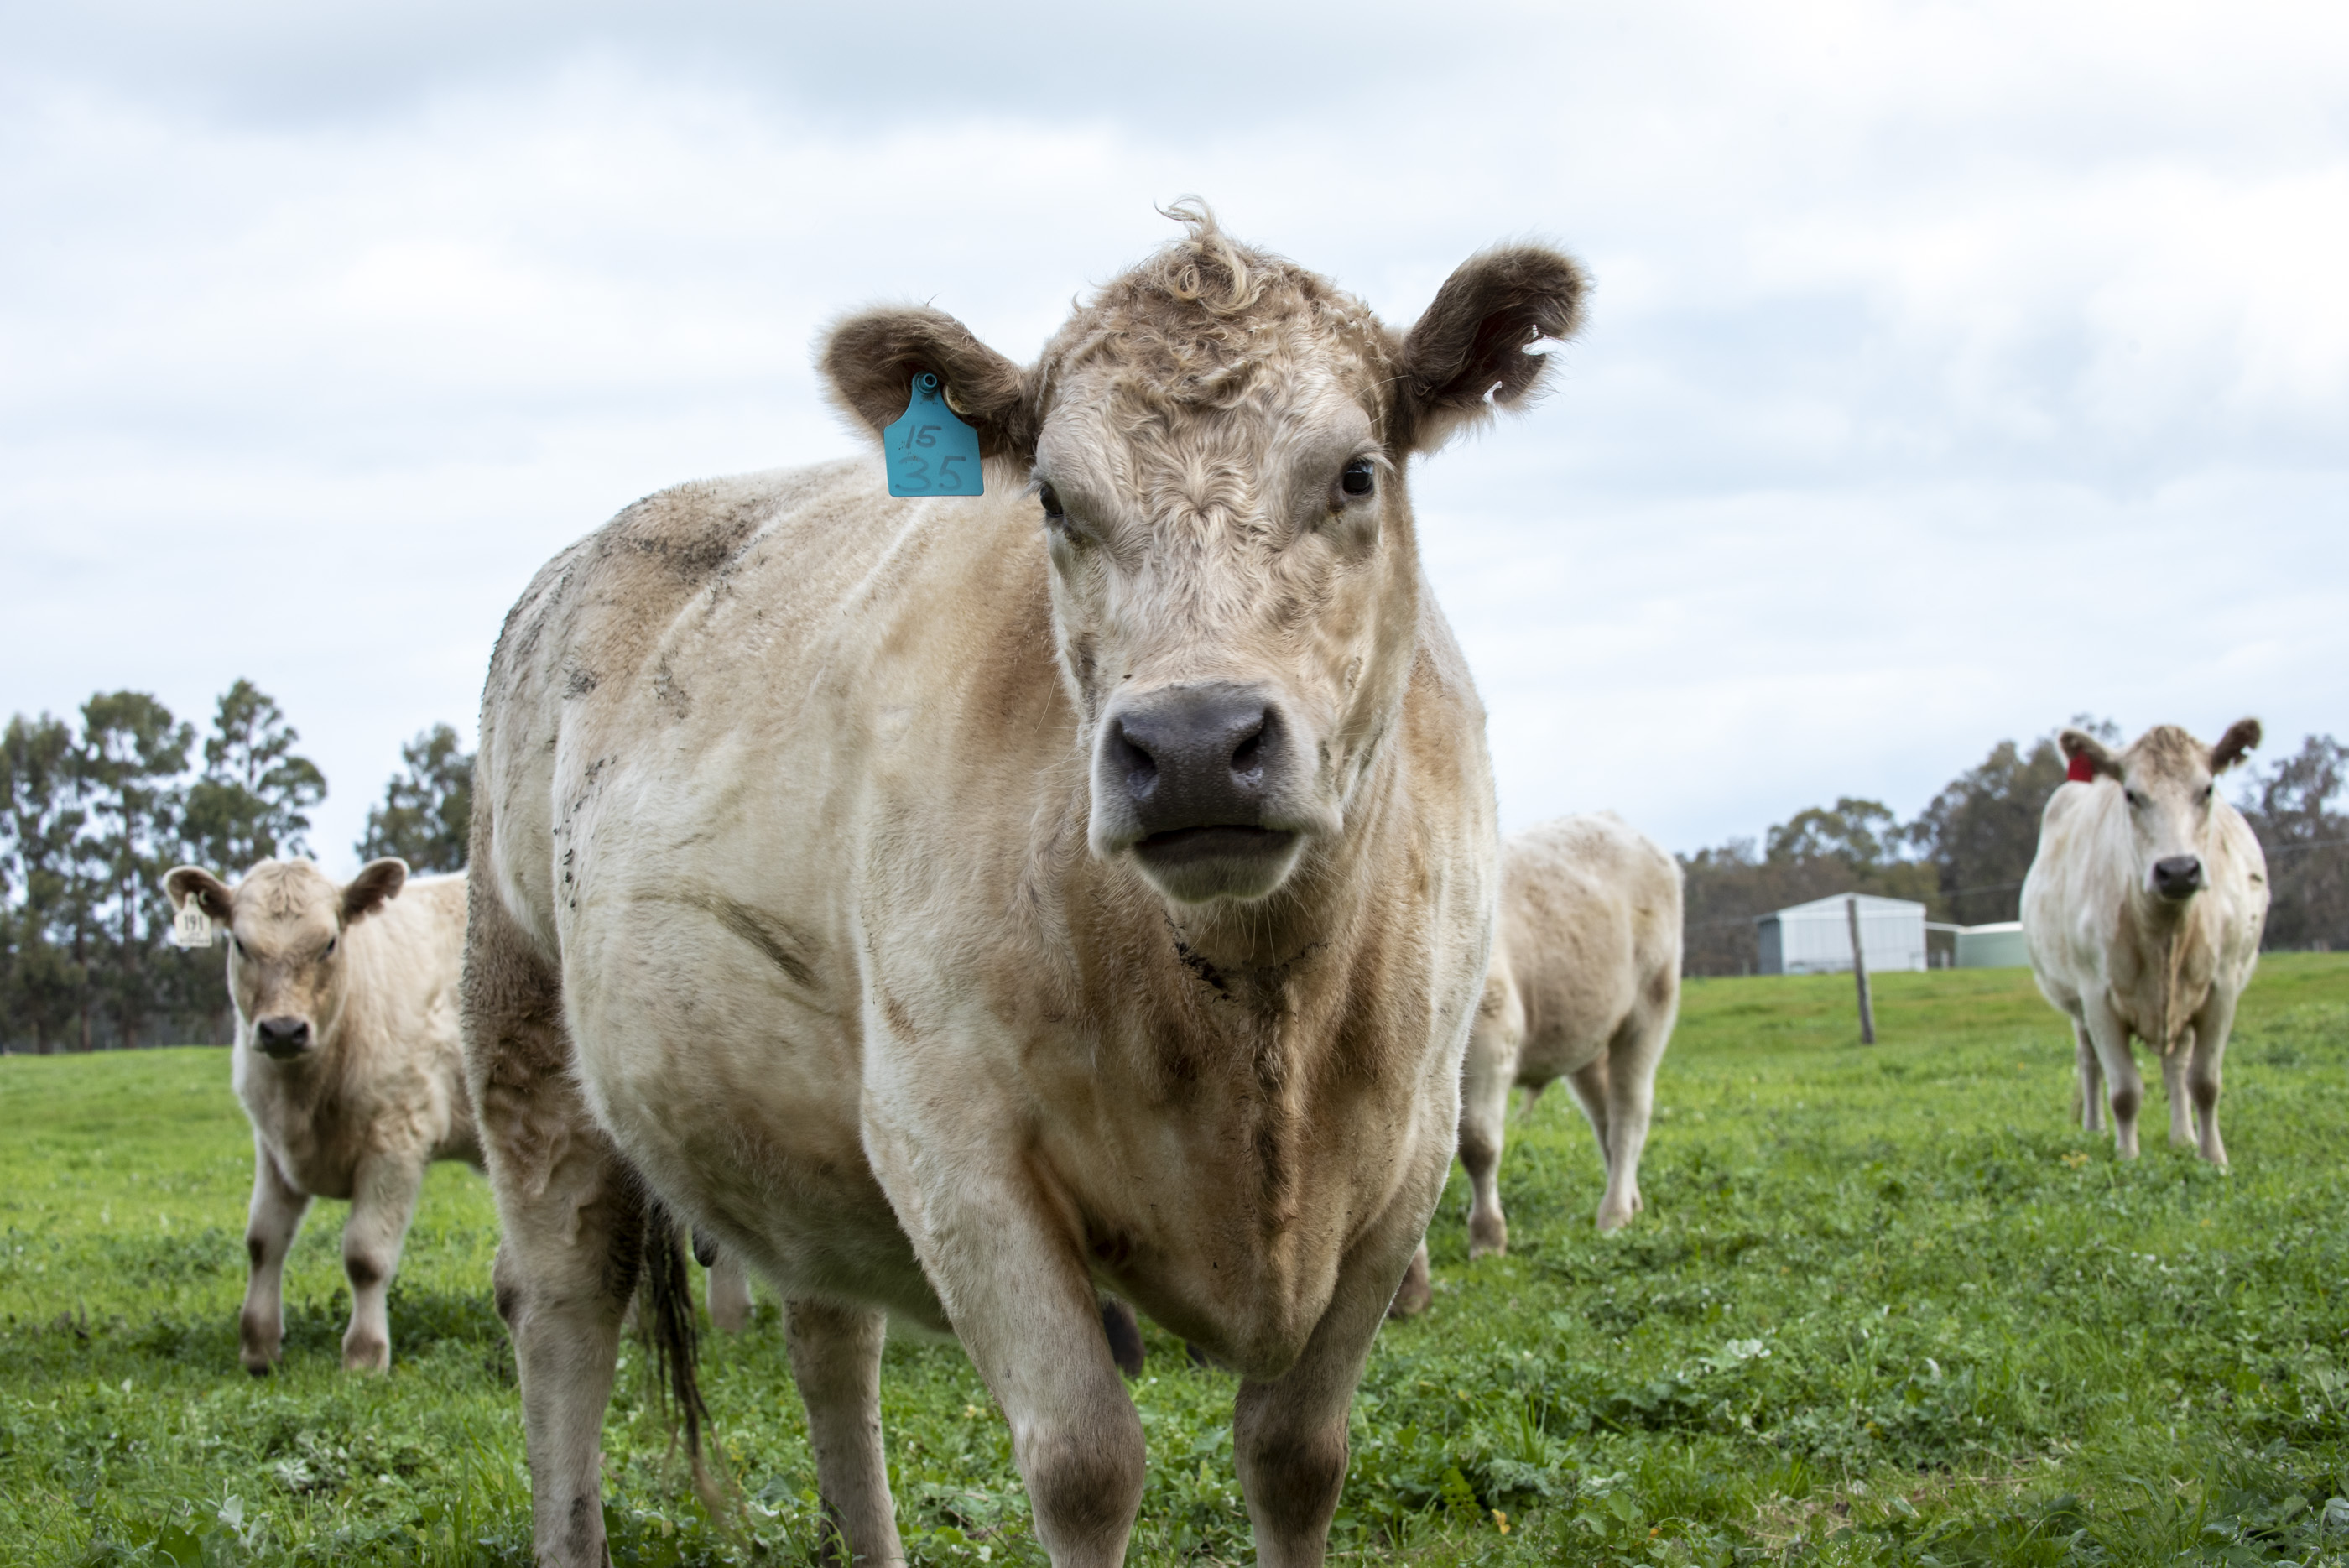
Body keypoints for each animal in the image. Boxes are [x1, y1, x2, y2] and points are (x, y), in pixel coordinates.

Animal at [161, 858, 478, 1374]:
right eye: (240, 943)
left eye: (329, 942)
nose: (282, 1030)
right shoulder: (271, 1145)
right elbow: (263, 1241)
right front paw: (259, 1347)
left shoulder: (397, 1141)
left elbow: (365, 1256)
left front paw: (365, 1356)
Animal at [462, 205, 1585, 1567]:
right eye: (1053, 499)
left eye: (1357, 473)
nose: (1193, 742)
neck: (1251, 1009)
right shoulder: (951, 1142)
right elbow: (1088, 1465)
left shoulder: (1408, 1149)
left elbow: (1296, 1456)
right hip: (523, 1030)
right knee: (565, 1303)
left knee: (831, 1338)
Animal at [1390, 812, 1682, 1315]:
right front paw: (1408, 1286)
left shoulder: (1492, 1035)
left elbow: (1478, 1146)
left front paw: (1488, 1239)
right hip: (1587, 1039)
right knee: (1606, 1118)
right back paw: (1631, 1199)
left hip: (1649, 1008)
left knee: (1630, 1115)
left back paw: (1614, 1213)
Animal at [2020, 721, 2268, 1166]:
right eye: (2131, 794)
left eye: (2207, 789)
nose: (2178, 870)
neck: (2162, 927)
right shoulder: (2097, 997)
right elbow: (2124, 1091)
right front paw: (2128, 1159)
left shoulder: (2221, 989)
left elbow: (2205, 1082)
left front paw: (2214, 1158)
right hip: (2078, 1005)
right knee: (2090, 1062)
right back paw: (2096, 1130)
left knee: (2177, 1065)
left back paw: (2182, 1137)